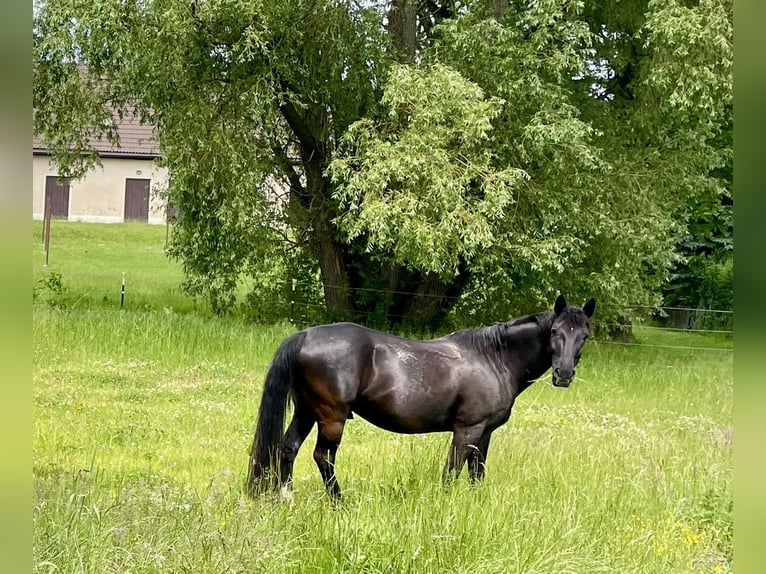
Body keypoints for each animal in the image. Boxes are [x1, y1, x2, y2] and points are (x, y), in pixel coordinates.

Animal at [249, 296, 596, 500]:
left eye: (584, 335)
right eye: (555, 332)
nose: (564, 374)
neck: (493, 357)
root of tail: (305, 335)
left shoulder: (484, 433)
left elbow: (477, 472)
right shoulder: (467, 429)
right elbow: (452, 471)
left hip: (307, 412)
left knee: (287, 448)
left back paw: (286, 498)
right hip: (331, 417)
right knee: (323, 457)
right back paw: (339, 502)